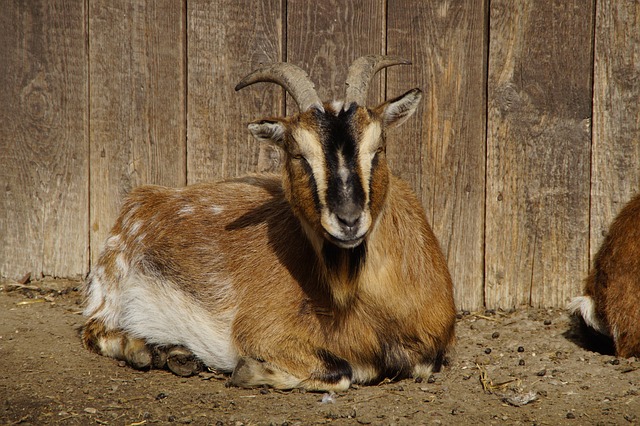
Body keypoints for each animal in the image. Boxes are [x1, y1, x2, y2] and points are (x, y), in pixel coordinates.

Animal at [82, 55, 458, 392]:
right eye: (298, 154)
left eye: (378, 148)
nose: (348, 220)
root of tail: (141, 200)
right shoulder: (263, 331)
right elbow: (342, 372)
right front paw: (248, 371)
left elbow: (422, 364)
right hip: (110, 294)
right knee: (95, 331)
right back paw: (146, 351)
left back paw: (175, 354)